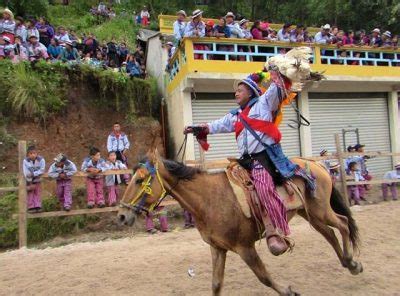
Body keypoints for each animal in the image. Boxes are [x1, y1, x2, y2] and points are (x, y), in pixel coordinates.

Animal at [118, 150, 362, 296]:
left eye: (140, 180)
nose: (121, 215)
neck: (209, 199)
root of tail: (315, 164)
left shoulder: (245, 247)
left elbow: (264, 277)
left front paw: (289, 291)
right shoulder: (217, 248)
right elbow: (216, 284)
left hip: (321, 211)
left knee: (342, 224)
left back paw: (352, 262)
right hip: (310, 213)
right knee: (330, 233)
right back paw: (348, 263)